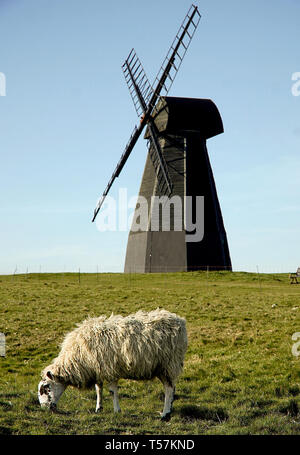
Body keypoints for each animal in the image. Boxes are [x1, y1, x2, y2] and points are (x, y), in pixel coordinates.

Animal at [37, 308, 188, 422]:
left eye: (46, 388)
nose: (44, 408)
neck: (76, 357)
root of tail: (180, 321)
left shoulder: (110, 369)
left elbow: (112, 391)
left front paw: (117, 410)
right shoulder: (97, 369)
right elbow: (99, 389)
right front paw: (98, 408)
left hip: (168, 364)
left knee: (169, 389)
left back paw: (165, 414)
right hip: (163, 367)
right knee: (171, 388)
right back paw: (169, 409)